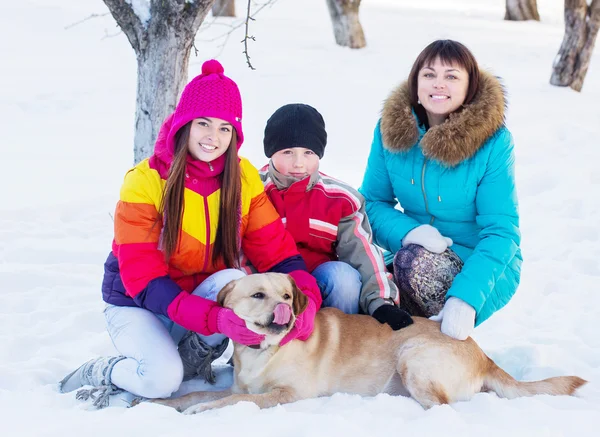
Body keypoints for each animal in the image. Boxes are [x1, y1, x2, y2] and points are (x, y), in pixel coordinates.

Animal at [150, 272, 584, 412]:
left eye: (287, 295)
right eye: (258, 295)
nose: (286, 309)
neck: (262, 352)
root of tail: (483, 353)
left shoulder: (288, 394)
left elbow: (238, 400)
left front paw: (201, 412)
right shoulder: (238, 384)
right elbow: (199, 393)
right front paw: (159, 405)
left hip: (413, 357)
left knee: (442, 406)